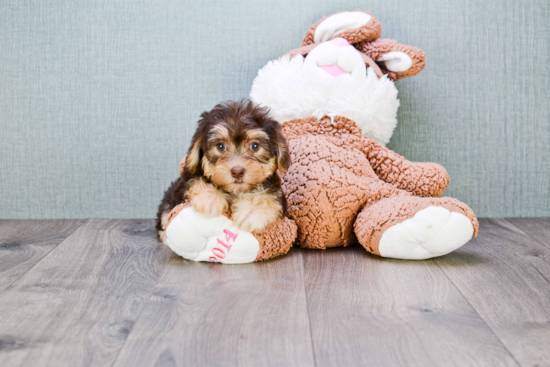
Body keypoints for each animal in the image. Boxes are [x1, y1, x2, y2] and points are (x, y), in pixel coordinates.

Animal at [155, 99, 292, 243]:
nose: (237, 171)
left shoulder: (276, 190)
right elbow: (195, 179)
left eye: (255, 146)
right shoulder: (186, 180)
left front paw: (251, 212)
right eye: (220, 146)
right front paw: (210, 198)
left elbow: (270, 197)